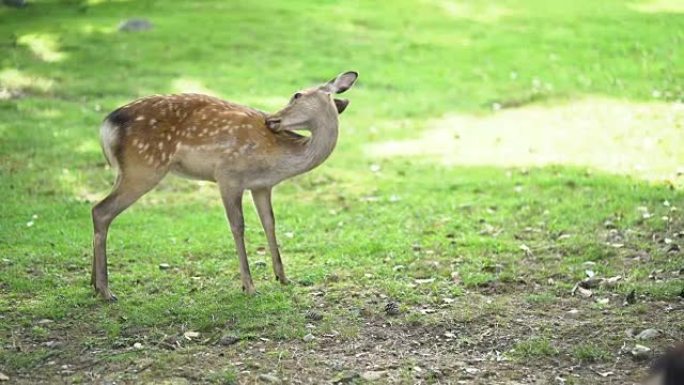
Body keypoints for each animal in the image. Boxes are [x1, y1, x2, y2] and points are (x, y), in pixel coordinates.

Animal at [92, 71, 358, 300]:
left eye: (296, 95)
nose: (271, 119)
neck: (279, 159)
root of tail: (106, 126)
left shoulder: (261, 185)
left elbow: (269, 223)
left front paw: (282, 277)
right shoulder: (228, 176)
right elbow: (238, 226)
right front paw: (249, 286)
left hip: (127, 171)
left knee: (98, 210)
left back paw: (94, 284)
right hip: (144, 167)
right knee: (101, 210)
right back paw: (106, 290)